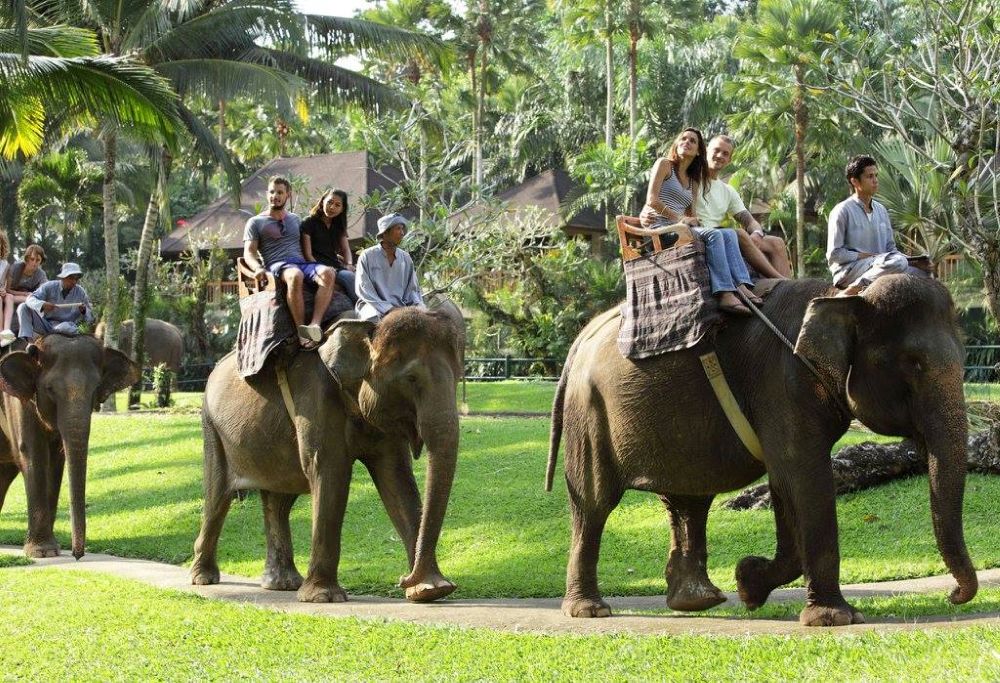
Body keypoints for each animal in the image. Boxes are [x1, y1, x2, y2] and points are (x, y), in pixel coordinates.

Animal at [0, 334, 139, 558]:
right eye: (50, 389)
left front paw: (50, 550)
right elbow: (33, 453)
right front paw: (42, 552)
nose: (77, 555)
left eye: (96, 388)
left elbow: (56, 461)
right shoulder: (16, 402)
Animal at [190, 301, 464, 603]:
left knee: (279, 499)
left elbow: (397, 480)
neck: (366, 329)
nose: (402, 579)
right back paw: (203, 578)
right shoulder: (316, 398)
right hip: (212, 427)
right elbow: (330, 471)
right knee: (218, 495)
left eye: (459, 376)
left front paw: (431, 590)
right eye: (411, 378)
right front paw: (323, 597)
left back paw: (282, 583)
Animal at [547, 275, 977, 626]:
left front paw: (748, 584)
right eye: (914, 363)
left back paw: (698, 602)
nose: (953, 595)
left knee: (688, 498)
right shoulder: (782, 385)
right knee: (593, 503)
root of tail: (582, 337)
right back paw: (590, 610)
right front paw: (834, 618)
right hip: (589, 413)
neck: (842, 295)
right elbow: (805, 477)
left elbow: (785, 484)